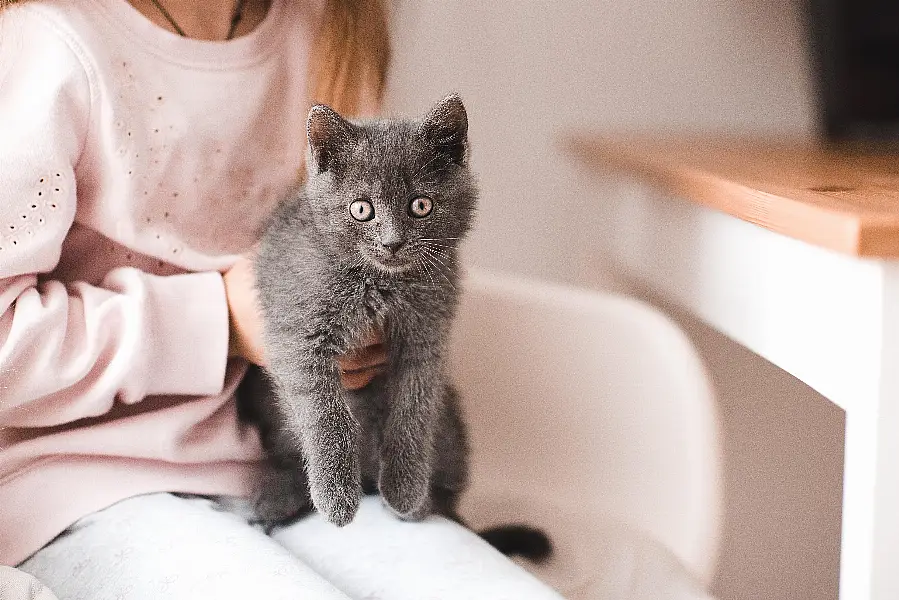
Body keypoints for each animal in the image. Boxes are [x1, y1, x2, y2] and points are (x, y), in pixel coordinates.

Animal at [237, 92, 548, 556]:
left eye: (421, 205)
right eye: (361, 209)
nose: (392, 242)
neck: (383, 284)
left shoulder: (429, 331)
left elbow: (413, 409)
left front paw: (404, 487)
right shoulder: (299, 329)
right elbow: (324, 412)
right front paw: (335, 495)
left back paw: (421, 504)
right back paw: (278, 498)